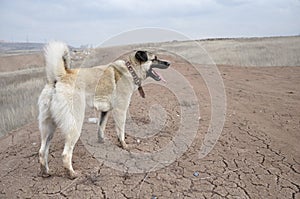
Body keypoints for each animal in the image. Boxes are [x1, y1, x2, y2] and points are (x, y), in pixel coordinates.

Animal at [37, 41, 170, 178]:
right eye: (154, 59)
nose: (168, 63)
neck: (130, 69)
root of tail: (59, 77)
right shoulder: (120, 110)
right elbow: (121, 131)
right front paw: (124, 145)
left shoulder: (105, 112)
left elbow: (101, 127)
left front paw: (102, 141)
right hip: (74, 124)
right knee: (65, 153)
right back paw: (72, 173)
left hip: (48, 127)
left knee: (42, 151)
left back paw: (45, 172)